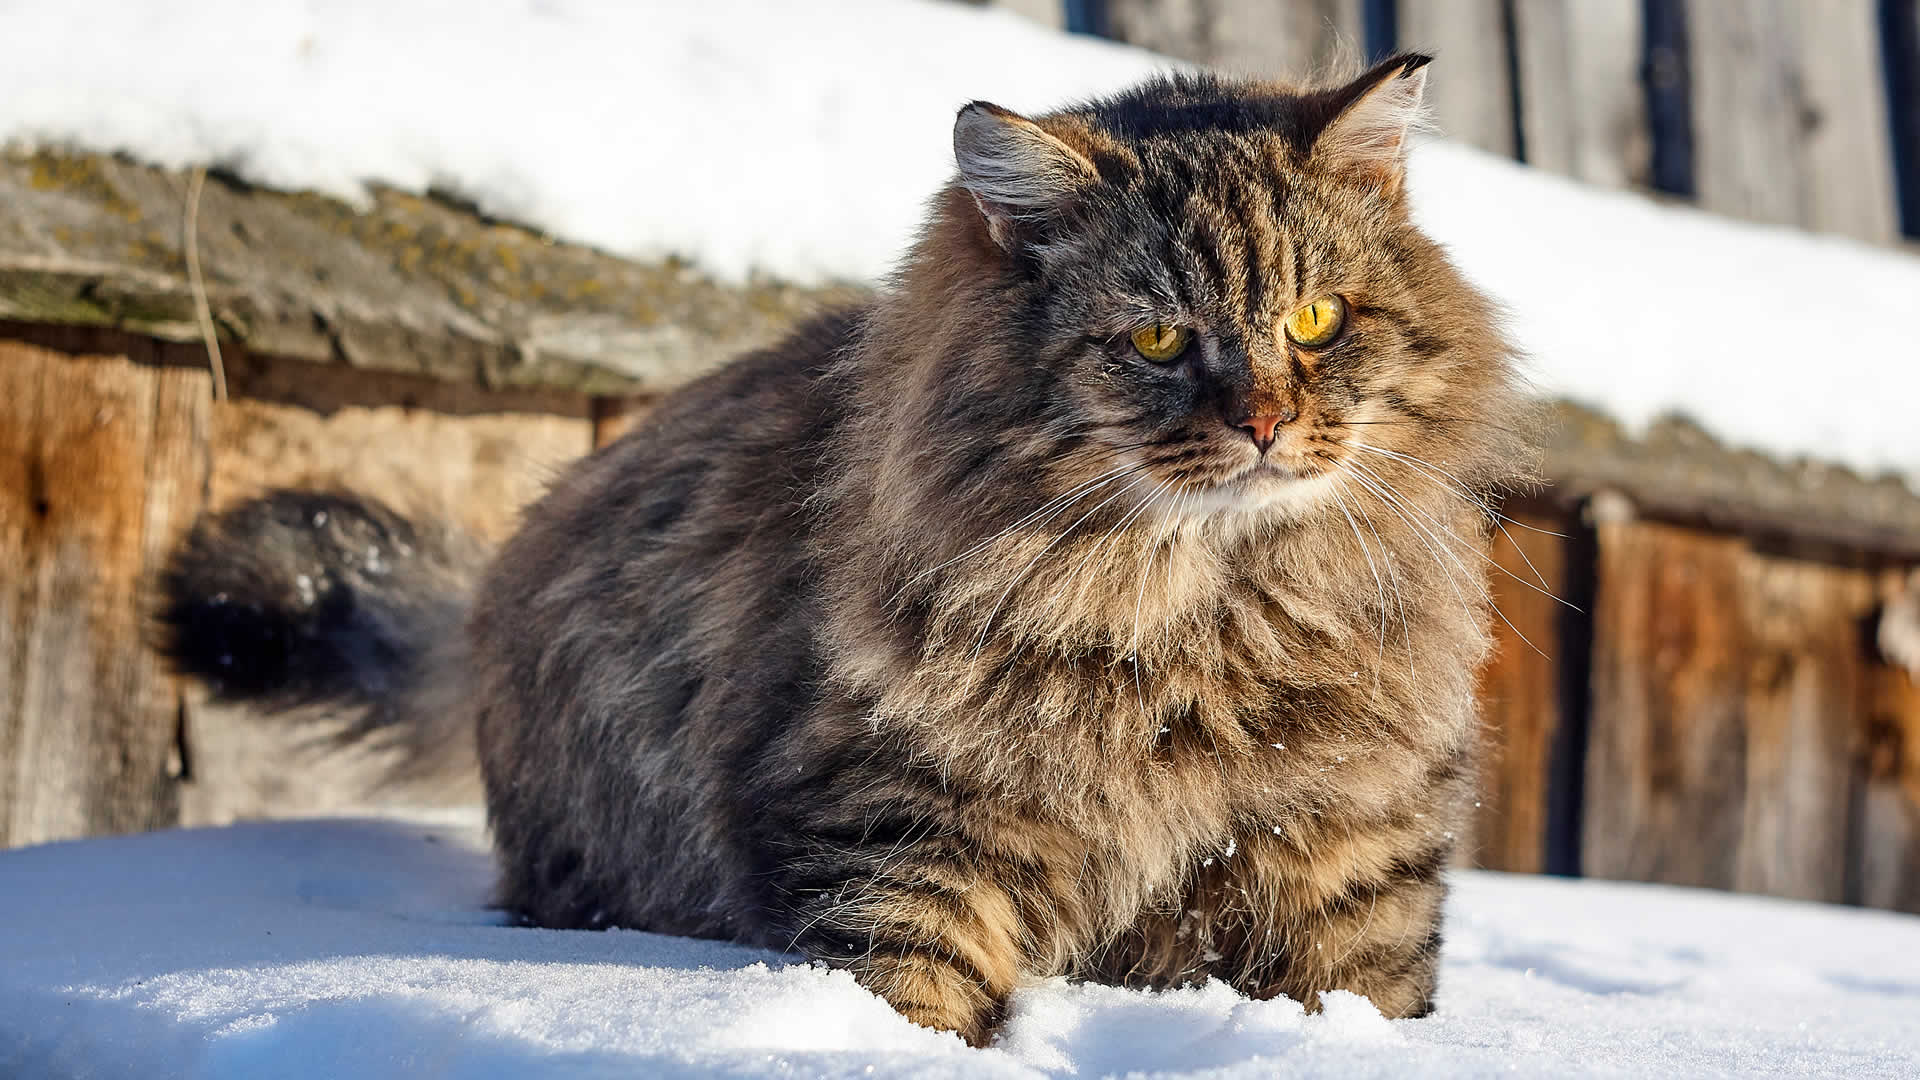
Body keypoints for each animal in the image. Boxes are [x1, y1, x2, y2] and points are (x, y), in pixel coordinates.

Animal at [165, 54, 1543, 1045]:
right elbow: (913, 999)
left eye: (1315, 321)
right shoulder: (900, 829)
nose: (1262, 421)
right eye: (1157, 340)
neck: (1204, 626)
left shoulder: (1351, 856)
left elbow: (1360, 1001)